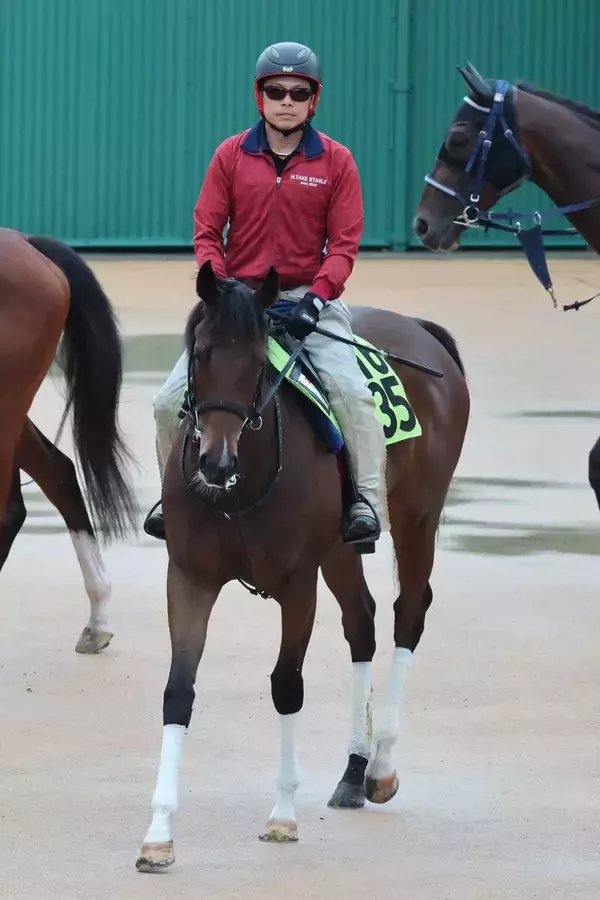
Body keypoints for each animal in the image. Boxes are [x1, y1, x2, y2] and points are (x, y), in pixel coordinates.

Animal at [136, 260, 469, 872]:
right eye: (201, 353)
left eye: (255, 362)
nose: (215, 460)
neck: (240, 484)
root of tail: (421, 329)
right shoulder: (189, 576)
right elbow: (179, 691)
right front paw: (159, 832)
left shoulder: (297, 583)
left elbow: (286, 685)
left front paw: (282, 815)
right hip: (339, 549)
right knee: (361, 623)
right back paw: (354, 772)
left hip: (417, 516)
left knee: (408, 612)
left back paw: (381, 767)